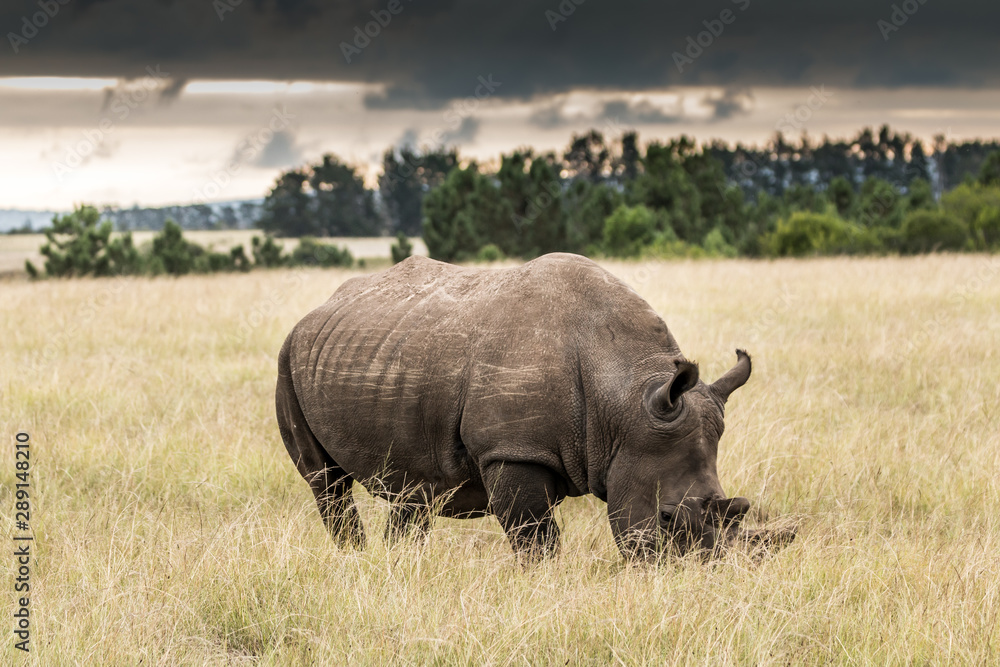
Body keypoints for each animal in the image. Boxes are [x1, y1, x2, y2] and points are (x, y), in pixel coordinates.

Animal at [276, 252, 791, 559]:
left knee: (413, 489)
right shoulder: (512, 449)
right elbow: (537, 539)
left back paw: (400, 565)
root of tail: (317, 311)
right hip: (287, 358)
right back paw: (353, 557)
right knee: (327, 484)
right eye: (667, 518)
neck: (624, 398)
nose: (704, 576)